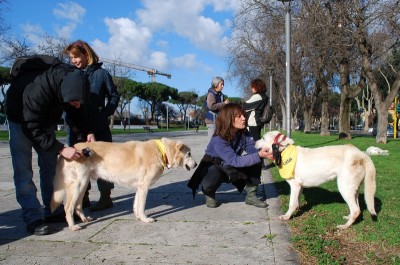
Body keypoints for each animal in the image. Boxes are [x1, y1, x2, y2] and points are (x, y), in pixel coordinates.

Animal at [50, 137, 198, 230]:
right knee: (68, 207)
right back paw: (73, 226)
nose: (196, 164)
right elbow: (141, 206)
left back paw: (85, 219)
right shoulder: (144, 186)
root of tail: (70, 149)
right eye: (189, 154)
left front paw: (138, 217)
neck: (162, 151)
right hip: (78, 184)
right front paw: (145, 219)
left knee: (78, 205)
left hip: (84, 183)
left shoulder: (140, 187)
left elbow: (136, 205)